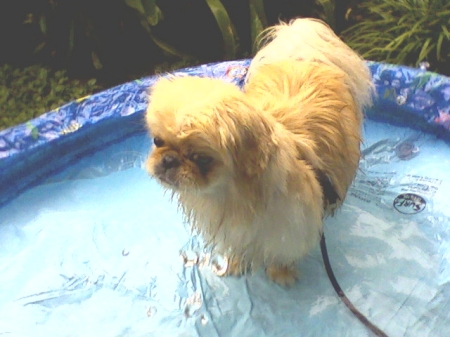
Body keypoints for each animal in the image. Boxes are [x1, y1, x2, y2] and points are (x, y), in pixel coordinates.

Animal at [144, 18, 372, 284]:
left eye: (201, 158)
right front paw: (235, 264)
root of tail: (303, 58)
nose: (169, 159)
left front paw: (280, 274)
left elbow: (280, 254)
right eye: (158, 141)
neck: (231, 196)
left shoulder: (289, 229)